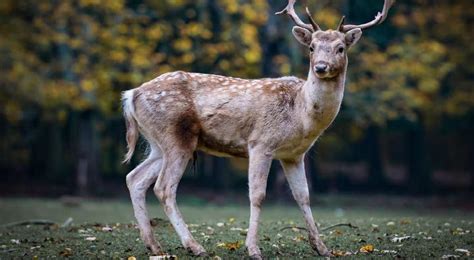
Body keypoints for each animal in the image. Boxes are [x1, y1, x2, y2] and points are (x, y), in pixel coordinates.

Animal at [121, 0, 392, 256]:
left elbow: (303, 196)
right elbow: (258, 195)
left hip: (158, 143)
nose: (321, 67)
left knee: (134, 178)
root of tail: (131, 94)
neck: (300, 114)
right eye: (312, 47)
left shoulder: (294, 155)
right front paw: (253, 249)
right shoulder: (261, 143)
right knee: (164, 188)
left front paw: (322, 248)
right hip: (176, 136)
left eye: (340, 48)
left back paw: (154, 246)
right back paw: (194, 246)